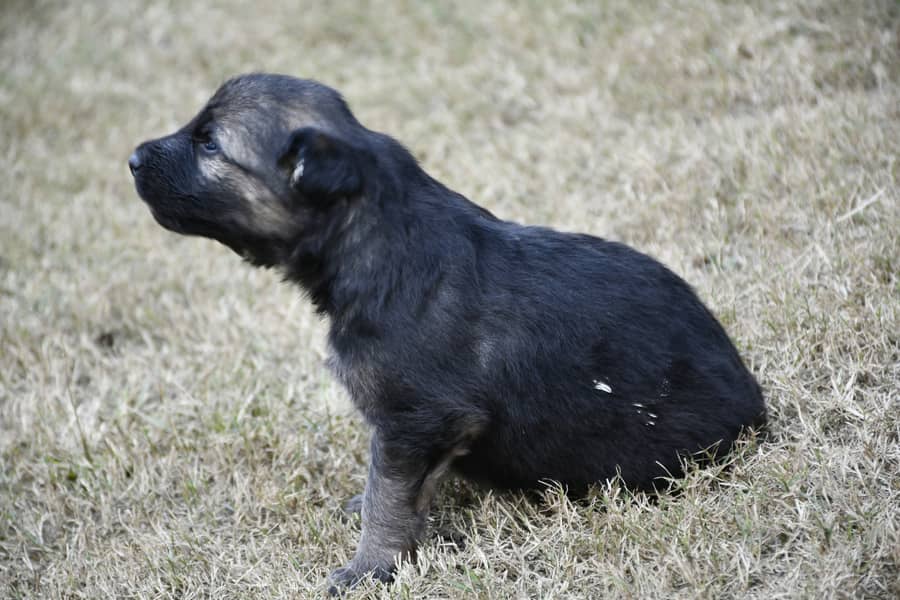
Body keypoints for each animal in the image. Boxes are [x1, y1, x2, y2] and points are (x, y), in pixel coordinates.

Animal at [130, 74, 768, 592]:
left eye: (210, 144)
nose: (133, 158)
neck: (375, 237)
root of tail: (757, 412)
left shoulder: (416, 419)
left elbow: (388, 500)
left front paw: (369, 568)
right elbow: (394, 489)